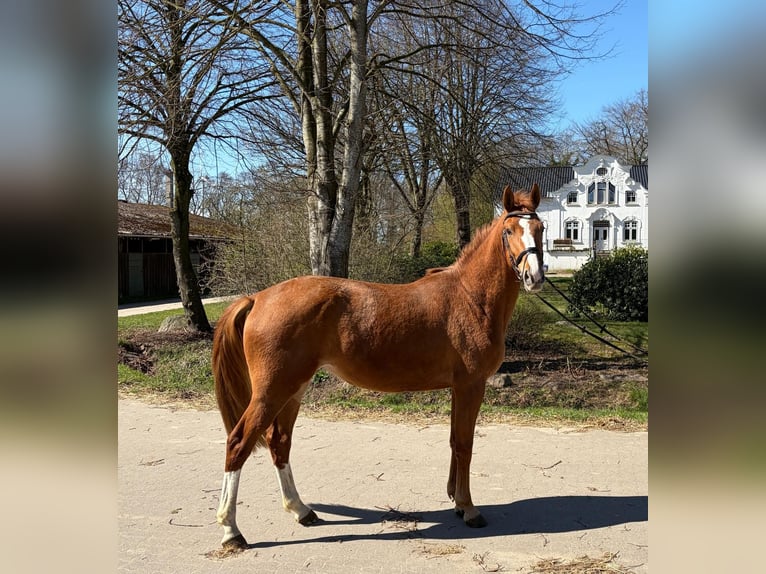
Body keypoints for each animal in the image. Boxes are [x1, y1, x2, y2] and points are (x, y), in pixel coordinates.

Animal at [212, 183, 545, 548]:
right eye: (509, 231)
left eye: (540, 228)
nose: (534, 276)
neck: (471, 297)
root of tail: (257, 298)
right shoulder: (471, 385)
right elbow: (465, 445)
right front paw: (470, 510)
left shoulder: (459, 388)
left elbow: (455, 442)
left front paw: (458, 502)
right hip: (271, 392)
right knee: (238, 443)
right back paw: (231, 531)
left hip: (293, 390)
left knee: (279, 442)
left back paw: (301, 510)